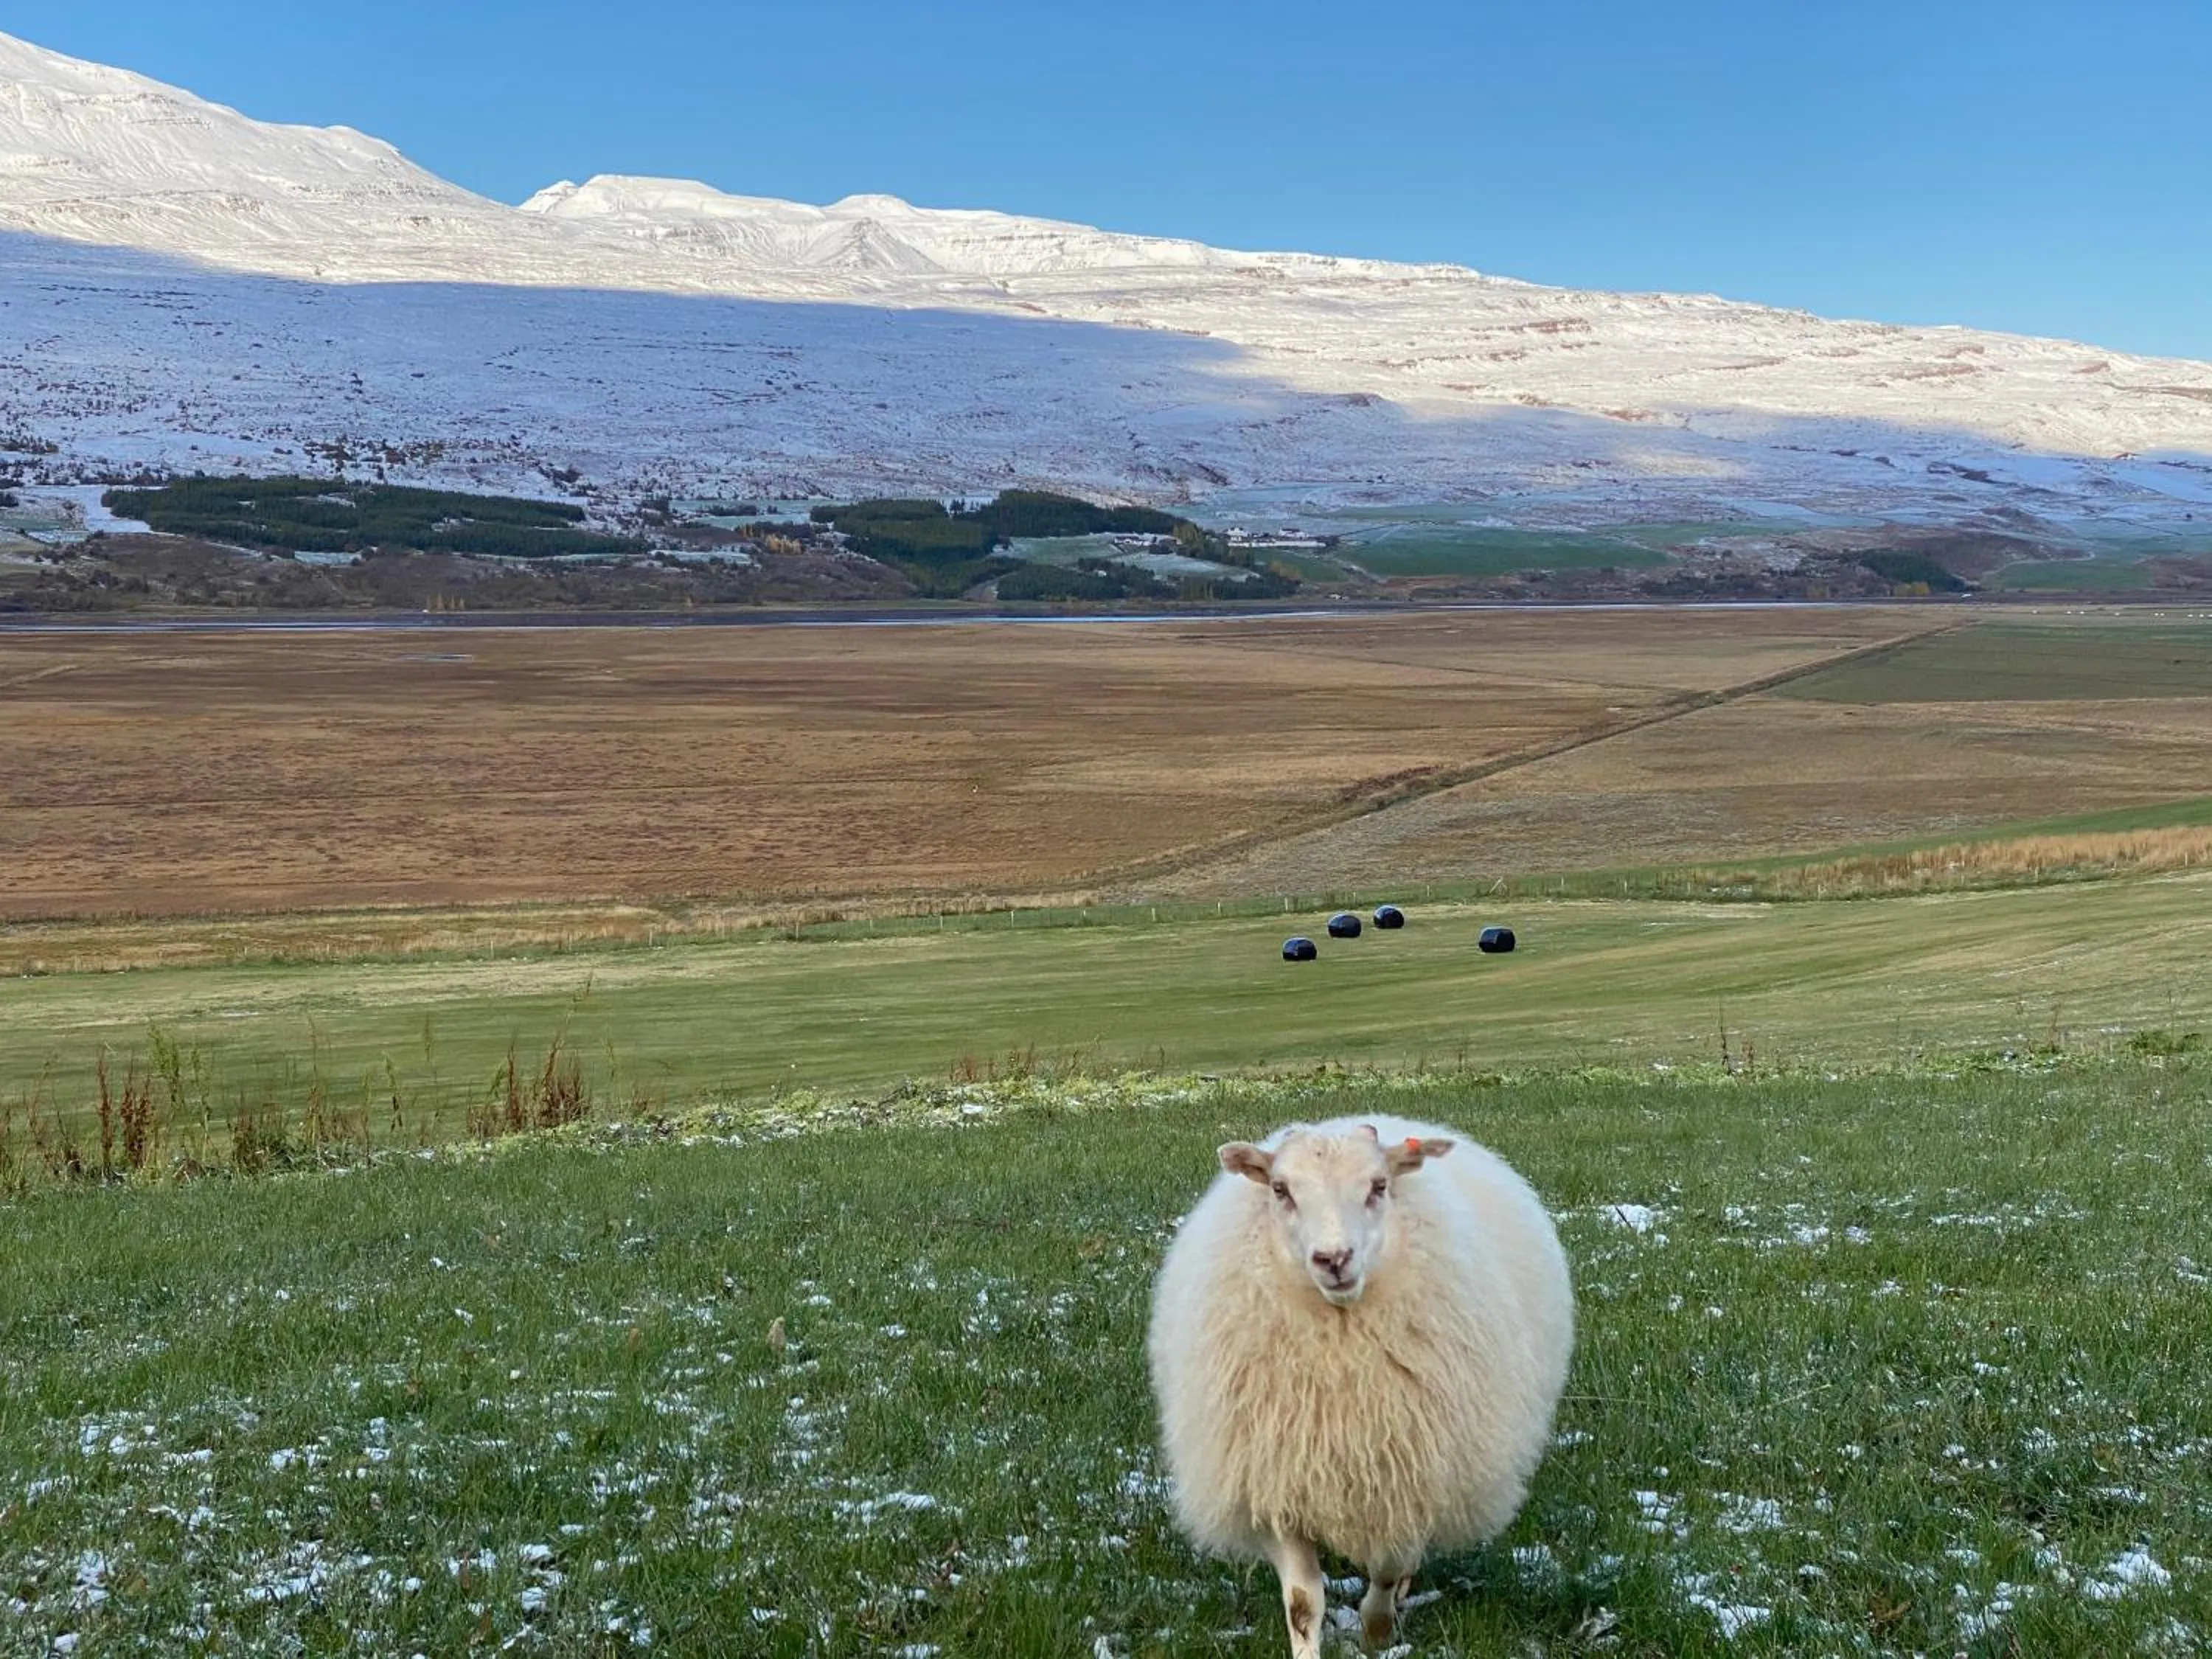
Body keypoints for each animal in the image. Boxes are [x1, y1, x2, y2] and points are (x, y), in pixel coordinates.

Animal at [1147, 1113, 1574, 1656]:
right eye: (1281, 1190)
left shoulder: (1405, 1478)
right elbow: (1303, 1602)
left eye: (1378, 1186)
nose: (1334, 1259)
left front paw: (1376, 1632)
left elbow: (1388, 1568)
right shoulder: (1276, 1479)